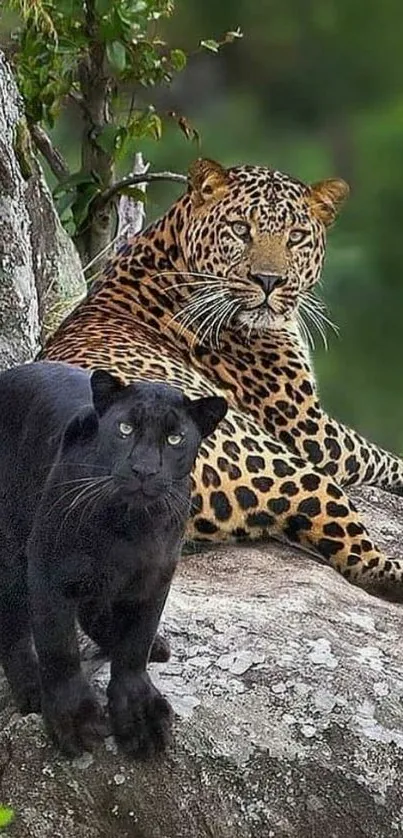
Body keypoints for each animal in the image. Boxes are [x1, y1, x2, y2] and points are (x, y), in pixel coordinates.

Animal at [41, 159, 403, 604]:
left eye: (296, 237)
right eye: (241, 229)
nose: (269, 281)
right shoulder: (313, 433)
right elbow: (376, 454)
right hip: (285, 464)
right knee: (366, 564)